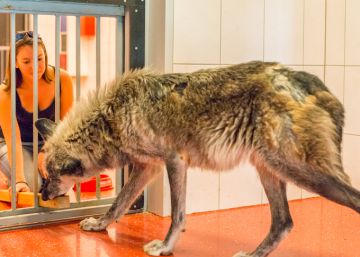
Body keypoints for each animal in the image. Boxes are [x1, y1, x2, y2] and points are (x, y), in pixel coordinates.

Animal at [34, 61, 360, 256]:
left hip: (301, 172)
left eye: (49, 177)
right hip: (268, 169)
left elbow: (177, 213)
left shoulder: (174, 162)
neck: (110, 117)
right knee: (283, 222)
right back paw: (254, 254)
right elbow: (119, 204)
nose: (42, 195)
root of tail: (313, 82)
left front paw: (166, 246)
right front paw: (100, 225)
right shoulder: (149, 168)